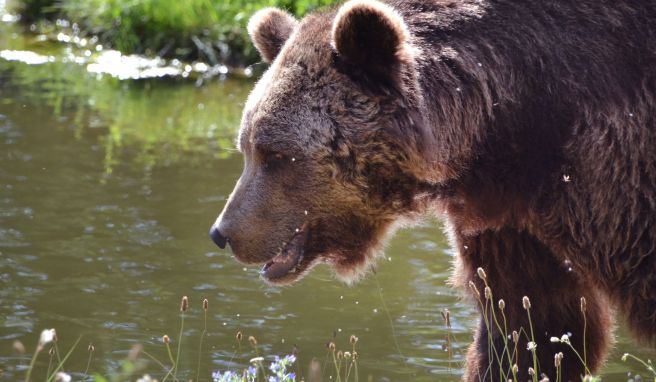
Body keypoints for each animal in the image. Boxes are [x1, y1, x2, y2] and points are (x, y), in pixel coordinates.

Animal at [210, 1, 656, 380]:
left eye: (275, 154)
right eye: (245, 147)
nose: (222, 232)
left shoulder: (615, 168)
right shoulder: (512, 221)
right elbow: (532, 326)